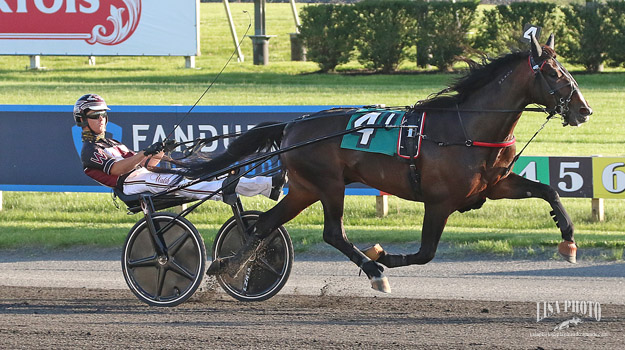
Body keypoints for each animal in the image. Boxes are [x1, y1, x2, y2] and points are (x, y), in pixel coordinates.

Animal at [204, 34, 588, 292]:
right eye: (553, 73)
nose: (584, 109)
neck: (466, 129)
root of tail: (292, 125)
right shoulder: (440, 202)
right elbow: (426, 252)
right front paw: (381, 256)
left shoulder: (494, 185)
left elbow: (550, 191)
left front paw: (568, 242)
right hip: (329, 184)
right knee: (332, 233)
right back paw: (375, 273)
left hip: (304, 188)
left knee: (264, 224)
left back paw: (229, 267)